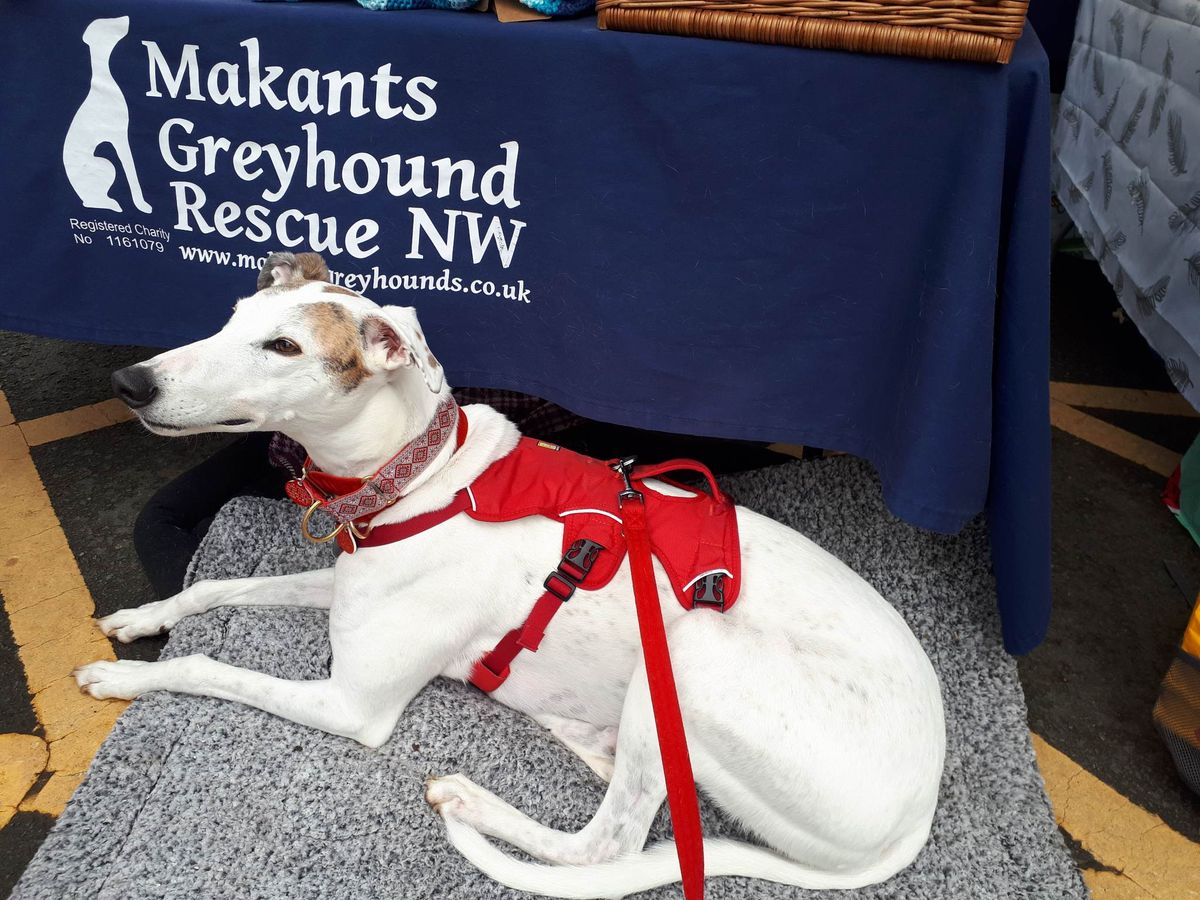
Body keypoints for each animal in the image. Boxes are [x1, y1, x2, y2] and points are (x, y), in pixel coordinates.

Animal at [82, 250, 945, 897]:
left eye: (285, 348)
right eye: (232, 317)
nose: (131, 384)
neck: (422, 480)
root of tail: (921, 807)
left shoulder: (353, 703)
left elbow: (206, 665)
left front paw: (125, 679)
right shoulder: (344, 582)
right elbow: (214, 586)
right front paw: (140, 619)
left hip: (691, 654)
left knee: (611, 844)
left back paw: (472, 800)